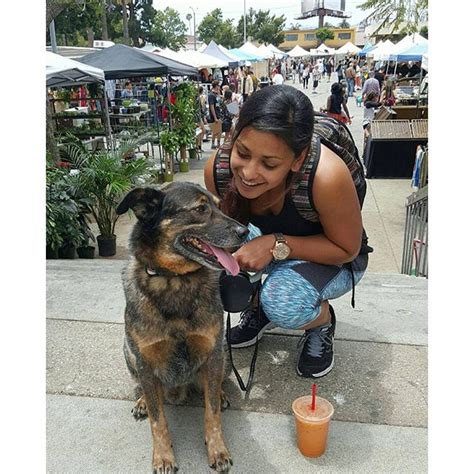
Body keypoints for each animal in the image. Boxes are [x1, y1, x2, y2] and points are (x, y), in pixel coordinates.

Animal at [116, 182, 248, 474]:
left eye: (219, 206)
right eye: (200, 209)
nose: (245, 233)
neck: (175, 280)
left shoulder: (212, 351)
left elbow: (212, 412)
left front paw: (217, 449)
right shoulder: (144, 359)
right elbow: (158, 420)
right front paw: (163, 456)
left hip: (222, 353)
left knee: (214, 384)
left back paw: (220, 392)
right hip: (128, 353)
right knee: (146, 388)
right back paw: (142, 400)